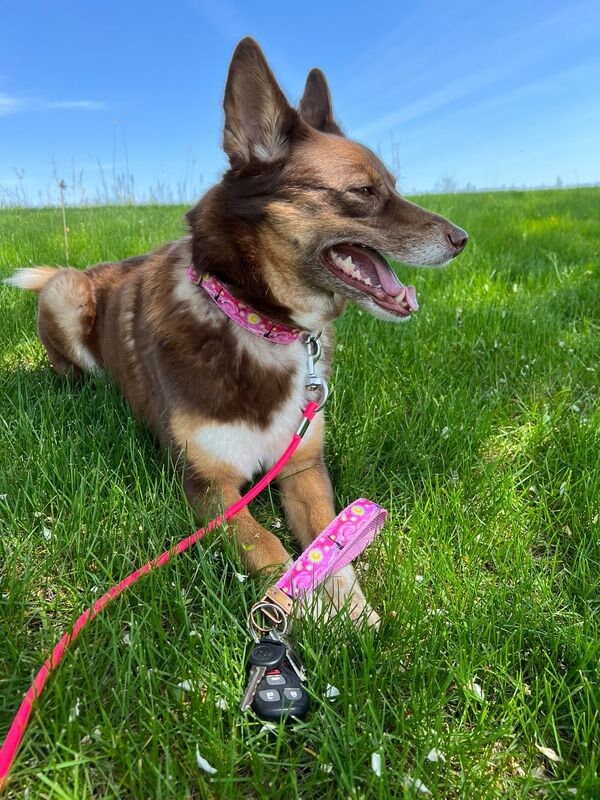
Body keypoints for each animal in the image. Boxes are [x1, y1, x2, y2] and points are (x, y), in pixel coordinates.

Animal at [7, 37, 468, 628]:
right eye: (364, 191)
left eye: (393, 186)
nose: (462, 239)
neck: (257, 324)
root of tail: (91, 270)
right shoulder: (210, 488)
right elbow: (268, 549)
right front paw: (302, 612)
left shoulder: (302, 465)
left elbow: (327, 538)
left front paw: (348, 606)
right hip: (65, 295)